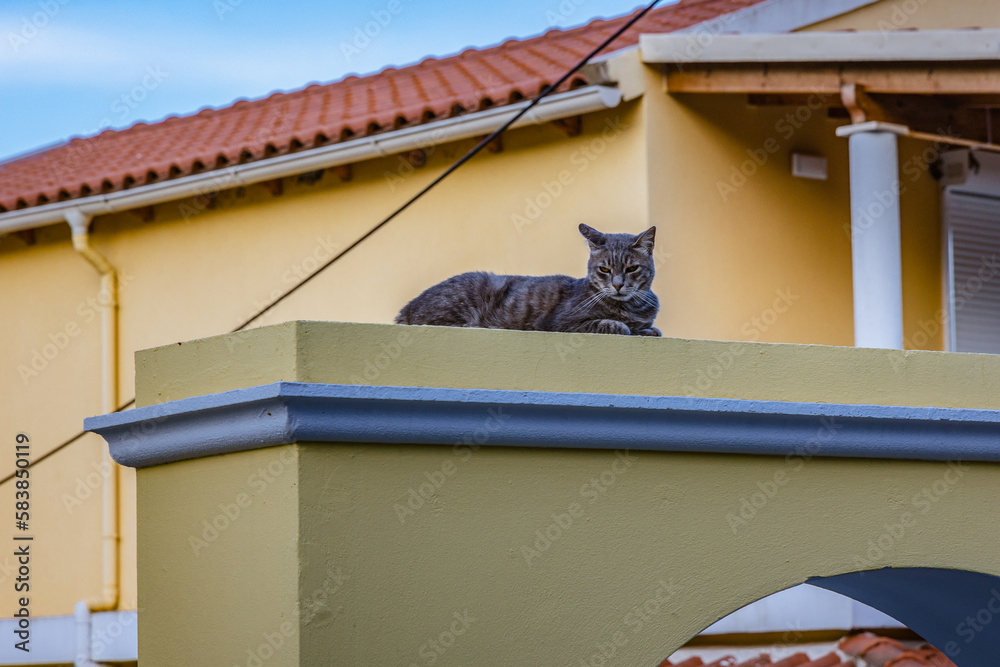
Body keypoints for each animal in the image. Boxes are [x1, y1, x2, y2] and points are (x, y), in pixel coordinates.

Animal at [394, 224, 660, 336]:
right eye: (604, 269)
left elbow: (647, 327)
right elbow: (613, 325)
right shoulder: (559, 323)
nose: (617, 284)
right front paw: (624, 326)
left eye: (632, 268)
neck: (631, 307)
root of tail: (405, 308)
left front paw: (647, 329)